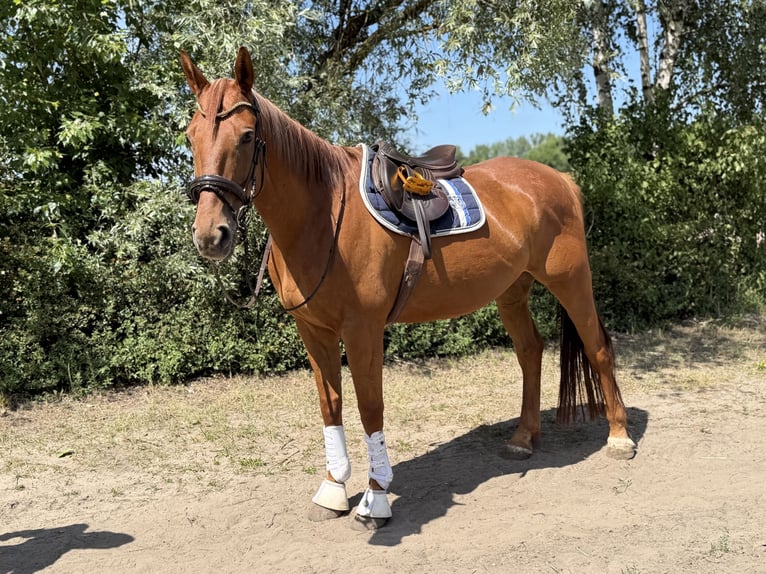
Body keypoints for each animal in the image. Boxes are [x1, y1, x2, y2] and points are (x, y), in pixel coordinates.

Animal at [180, 47, 635, 529]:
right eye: (191, 136)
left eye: (247, 136)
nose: (211, 235)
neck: (323, 215)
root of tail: (559, 179)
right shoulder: (314, 330)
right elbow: (330, 404)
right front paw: (333, 489)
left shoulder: (362, 329)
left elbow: (370, 407)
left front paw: (376, 498)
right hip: (512, 290)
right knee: (530, 352)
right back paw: (523, 438)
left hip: (571, 280)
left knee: (597, 347)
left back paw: (619, 437)